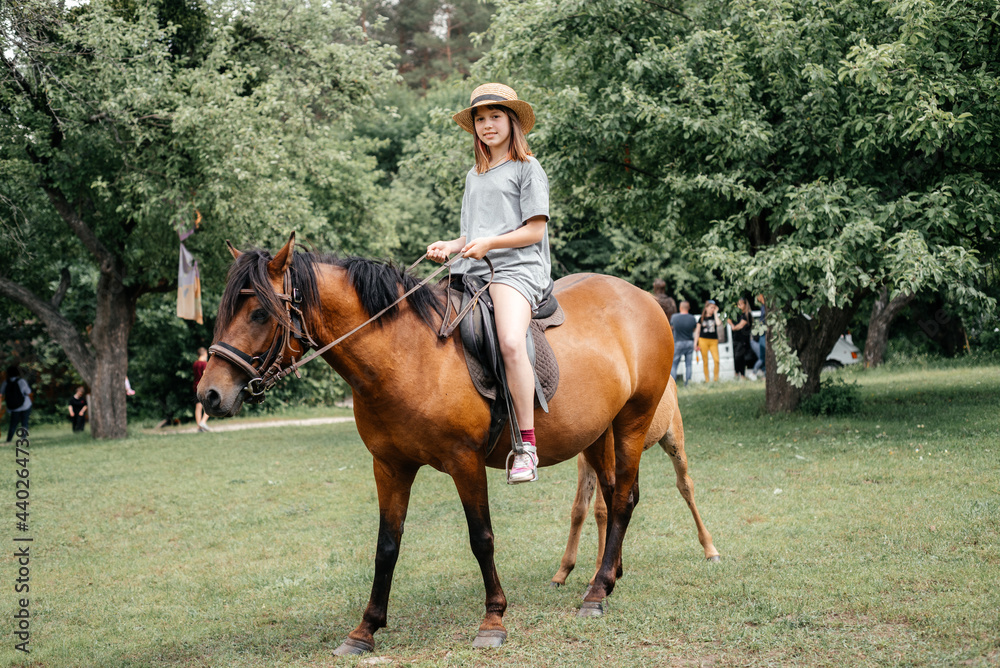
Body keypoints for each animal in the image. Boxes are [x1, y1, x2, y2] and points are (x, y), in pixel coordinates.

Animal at [197, 234, 672, 652]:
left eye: (259, 313)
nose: (209, 394)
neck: (408, 354)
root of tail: (645, 299)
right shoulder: (389, 466)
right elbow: (386, 546)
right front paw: (365, 629)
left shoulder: (465, 462)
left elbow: (481, 538)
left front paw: (493, 619)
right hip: (598, 433)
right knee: (612, 495)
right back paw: (606, 577)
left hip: (632, 421)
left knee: (623, 499)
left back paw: (596, 593)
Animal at [548, 376, 720, 588]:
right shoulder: (584, 459)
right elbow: (579, 510)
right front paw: (562, 573)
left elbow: (601, 511)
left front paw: (597, 573)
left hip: (674, 441)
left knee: (685, 485)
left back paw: (711, 550)